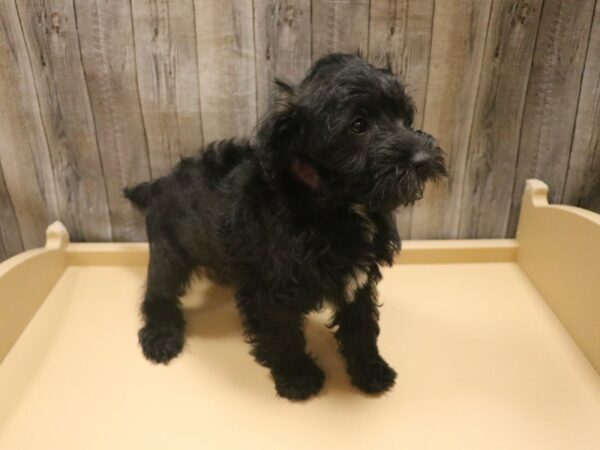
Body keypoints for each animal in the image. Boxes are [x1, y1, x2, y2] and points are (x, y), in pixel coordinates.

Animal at [125, 53, 446, 400]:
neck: (331, 203)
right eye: (358, 125)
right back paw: (161, 335)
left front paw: (370, 371)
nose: (424, 159)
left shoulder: (358, 281)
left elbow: (361, 327)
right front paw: (298, 377)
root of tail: (159, 183)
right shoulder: (268, 292)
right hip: (169, 252)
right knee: (157, 293)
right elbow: (283, 335)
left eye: (405, 116)